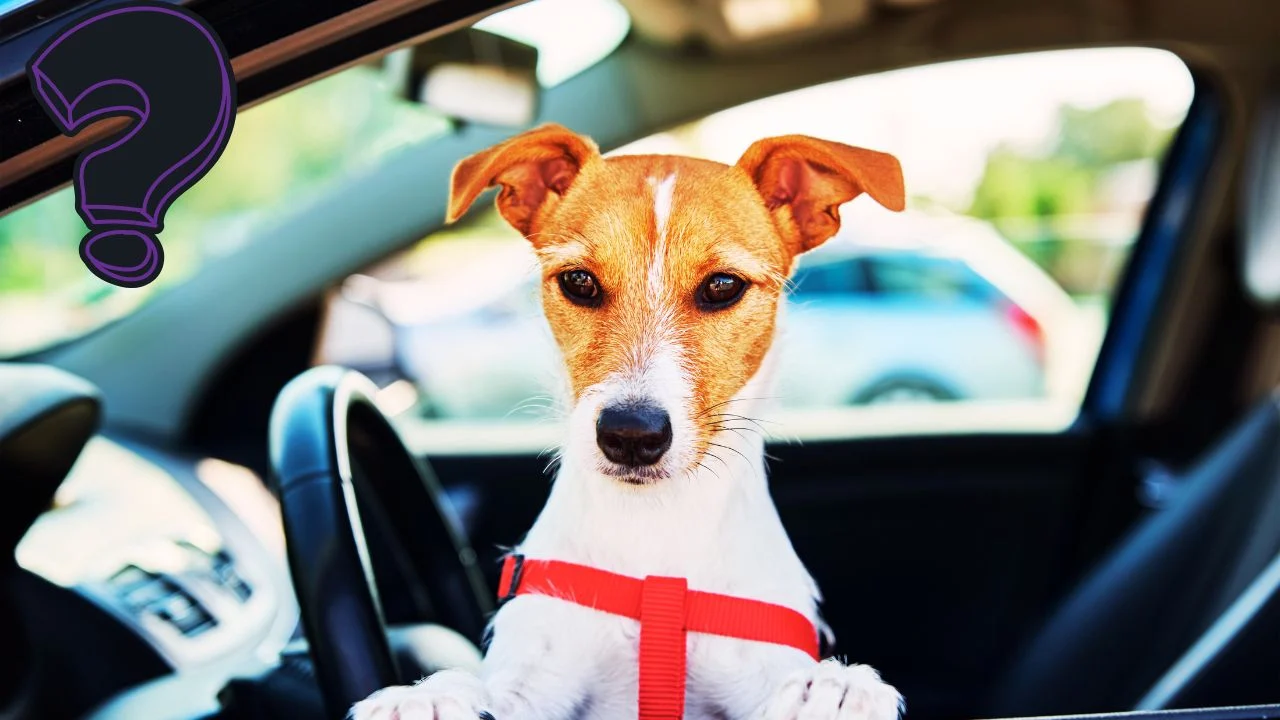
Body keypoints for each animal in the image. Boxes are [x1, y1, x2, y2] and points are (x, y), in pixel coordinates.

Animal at [355, 124, 906, 717]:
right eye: (578, 281)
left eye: (722, 286)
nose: (631, 435)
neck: (653, 548)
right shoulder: (540, 674)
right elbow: (495, 691)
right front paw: (430, 694)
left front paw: (838, 688)